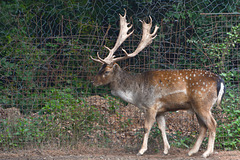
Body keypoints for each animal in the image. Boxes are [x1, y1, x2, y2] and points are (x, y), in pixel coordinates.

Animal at [90, 9, 225, 158]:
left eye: (106, 71)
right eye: (99, 68)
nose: (93, 81)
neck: (136, 93)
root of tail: (220, 81)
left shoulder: (151, 106)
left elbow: (146, 127)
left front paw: (141, 150)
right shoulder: (161, 110)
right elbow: (162, 128)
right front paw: (166, 149)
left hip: (202, 103)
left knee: (212, 124)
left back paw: (206, 153)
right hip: (197, 106)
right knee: (203, 127)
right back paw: (192, 151)